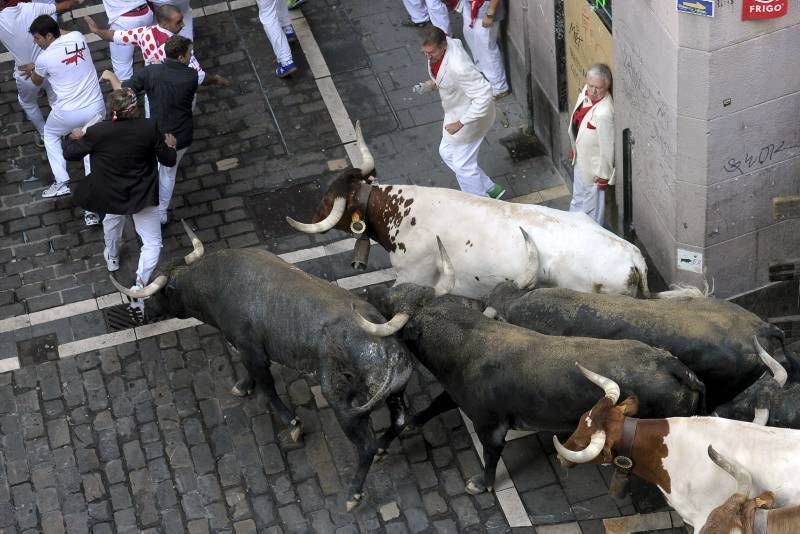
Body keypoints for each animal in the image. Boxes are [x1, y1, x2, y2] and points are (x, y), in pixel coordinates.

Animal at [122, 246, 416, 510]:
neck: (217, 282)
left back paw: (353, 494)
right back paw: (383, 449)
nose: (144, 314)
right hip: (395, 395)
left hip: (344, 407)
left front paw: (293, 423)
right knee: (400, 420)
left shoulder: (253, 350)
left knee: (365, 446)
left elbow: (268, 388)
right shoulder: (248, 349)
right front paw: (242, 386)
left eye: (156, 293)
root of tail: (390, 349)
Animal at [360, 284, 704, 498]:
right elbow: (434, 405)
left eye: (390, 304)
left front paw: (481, 484)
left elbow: (490, 456)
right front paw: (401, 431)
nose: (368, 291)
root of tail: (671, 364)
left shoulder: (490, 425)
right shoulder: (456, 394)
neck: (467, 342)